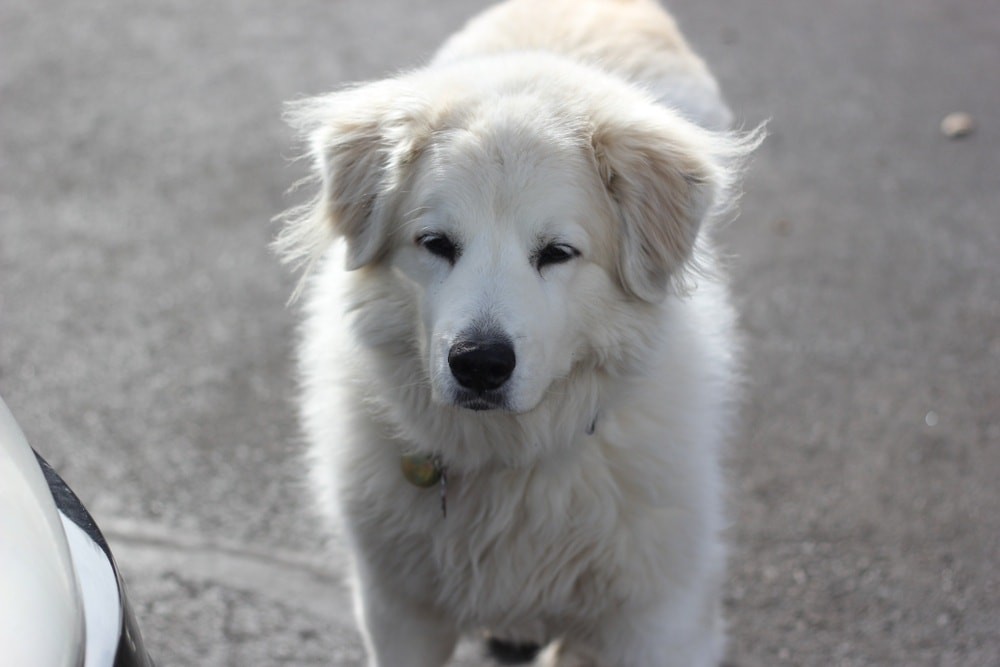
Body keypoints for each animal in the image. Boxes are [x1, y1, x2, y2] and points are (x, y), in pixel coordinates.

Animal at [278, 2, 760, 664]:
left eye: (557, 253)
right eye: (436, 243)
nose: (479, 363)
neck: (513, 461)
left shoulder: (658, 622)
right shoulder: (397, 610)